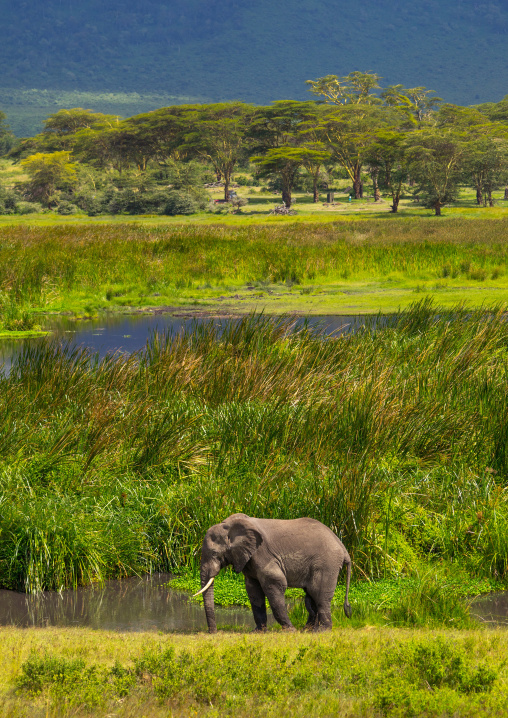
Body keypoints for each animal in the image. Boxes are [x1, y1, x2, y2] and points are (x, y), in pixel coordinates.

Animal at [194, 513, 352, 633]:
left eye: (215, 553)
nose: (213, 632)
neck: (229, 525)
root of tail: (343, 548)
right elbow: (253, 591)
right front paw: (258, 632)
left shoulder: (263, 554)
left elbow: (275, 583)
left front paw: (290, 631)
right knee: (311, 596)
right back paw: (307, 630)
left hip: (327, 564)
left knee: (319, 594)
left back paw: (320, 631)